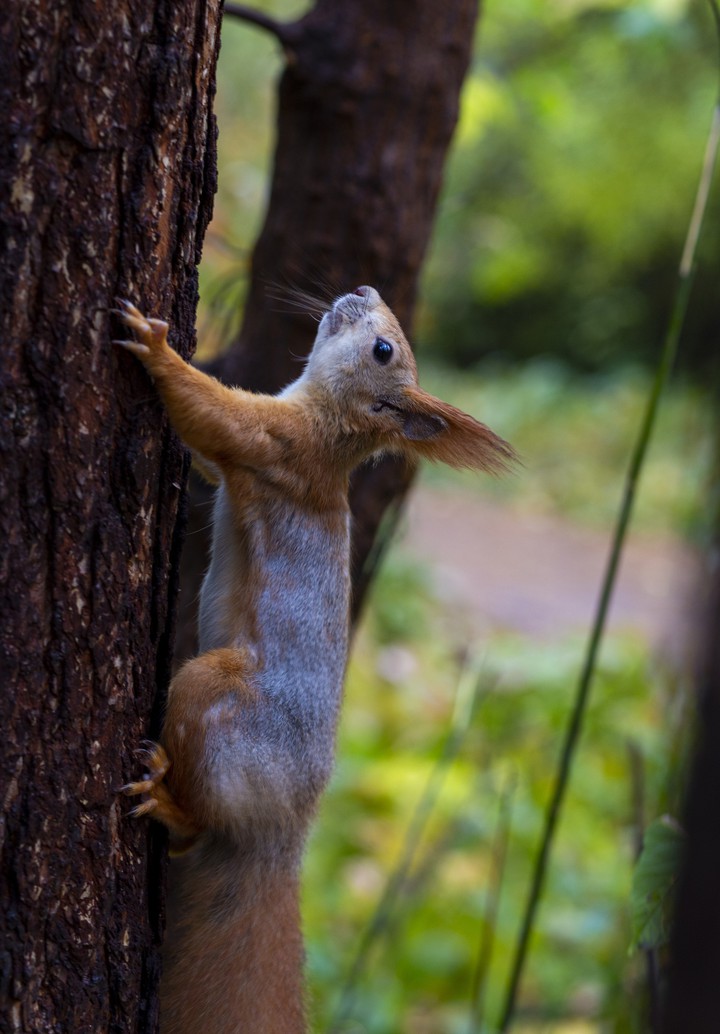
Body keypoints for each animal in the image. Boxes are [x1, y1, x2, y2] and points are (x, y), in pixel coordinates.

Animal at [114, 287, 513, 1034]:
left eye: (383, 349)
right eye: (384, 330)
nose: (362, 291)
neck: (330, 428)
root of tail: (281, 833)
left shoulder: (277, 445)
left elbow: (212, 416)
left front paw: (157, 349)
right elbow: (208, 459)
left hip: (212, 689)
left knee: (196, 816)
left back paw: (166, 799)